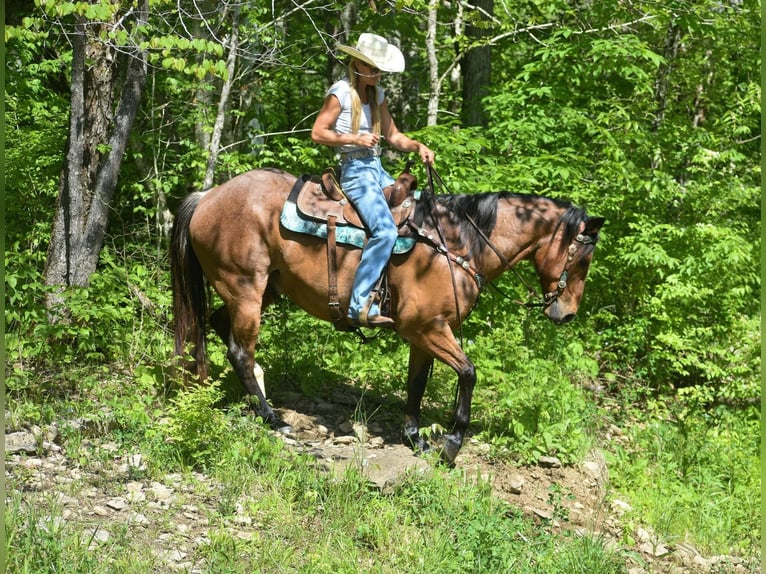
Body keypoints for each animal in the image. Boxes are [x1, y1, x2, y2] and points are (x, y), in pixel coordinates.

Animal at [170, 169, 608, 466]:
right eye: (583, 259)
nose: (567, 313)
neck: (456, 244)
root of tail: (210, 196)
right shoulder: (427, 328)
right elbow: (468, 374)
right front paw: (452, 446)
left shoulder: (425, 334)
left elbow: (417, 384)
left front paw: (415, 438)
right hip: (245, 288)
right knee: (240, 352)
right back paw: (273, 418)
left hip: (262, 291)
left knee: (223, 330)